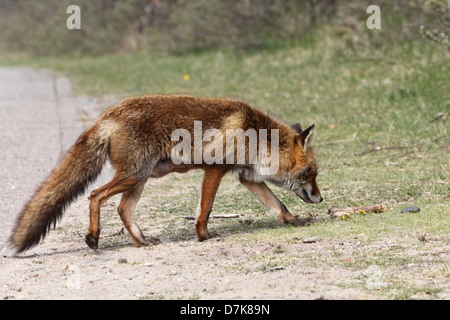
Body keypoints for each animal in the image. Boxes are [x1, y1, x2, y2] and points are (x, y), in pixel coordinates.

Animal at [7, 95, 324, 255]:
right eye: (310, 174)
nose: (321, 198)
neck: (254, 136)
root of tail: (107, 116)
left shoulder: (248, 177)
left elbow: (278, 206)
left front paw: (294, 222)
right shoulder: (215, 169)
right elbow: (205, 210)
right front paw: (203, 236)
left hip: (140, 178)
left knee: (123, 209)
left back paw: (141, 242)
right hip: (134, 175)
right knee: (96, 195)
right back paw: (94, 238)